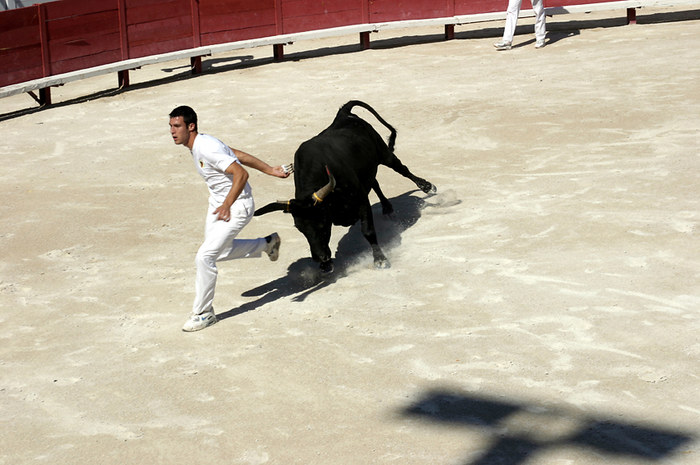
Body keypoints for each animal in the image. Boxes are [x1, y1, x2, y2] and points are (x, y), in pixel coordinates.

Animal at [254, 99, 434, 272]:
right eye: (300, 229)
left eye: (322, 224)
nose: (320, 257)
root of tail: (343, 114)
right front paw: (326, 266)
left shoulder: (361, 201)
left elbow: (368, 231)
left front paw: (380, 260)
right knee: (375, 182)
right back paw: (387, 207)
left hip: (384, 153)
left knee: (402, 169)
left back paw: (427, 186)